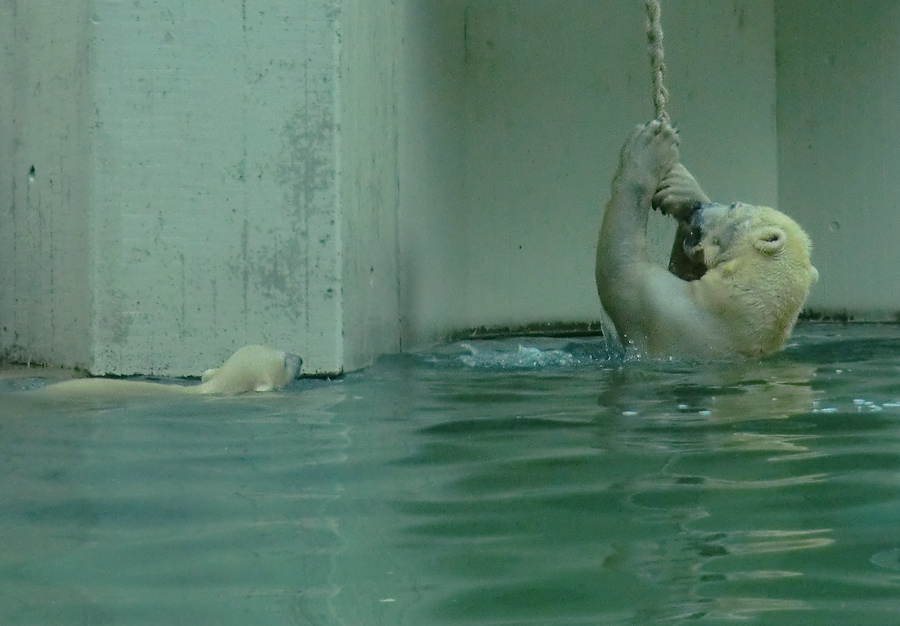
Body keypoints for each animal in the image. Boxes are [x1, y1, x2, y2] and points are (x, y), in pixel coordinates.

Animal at [596, 120, 820, 356]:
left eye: (734, 205)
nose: (699, 207)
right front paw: (683, 188)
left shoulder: (663, 307)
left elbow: (620, 264)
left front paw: (649, 147)